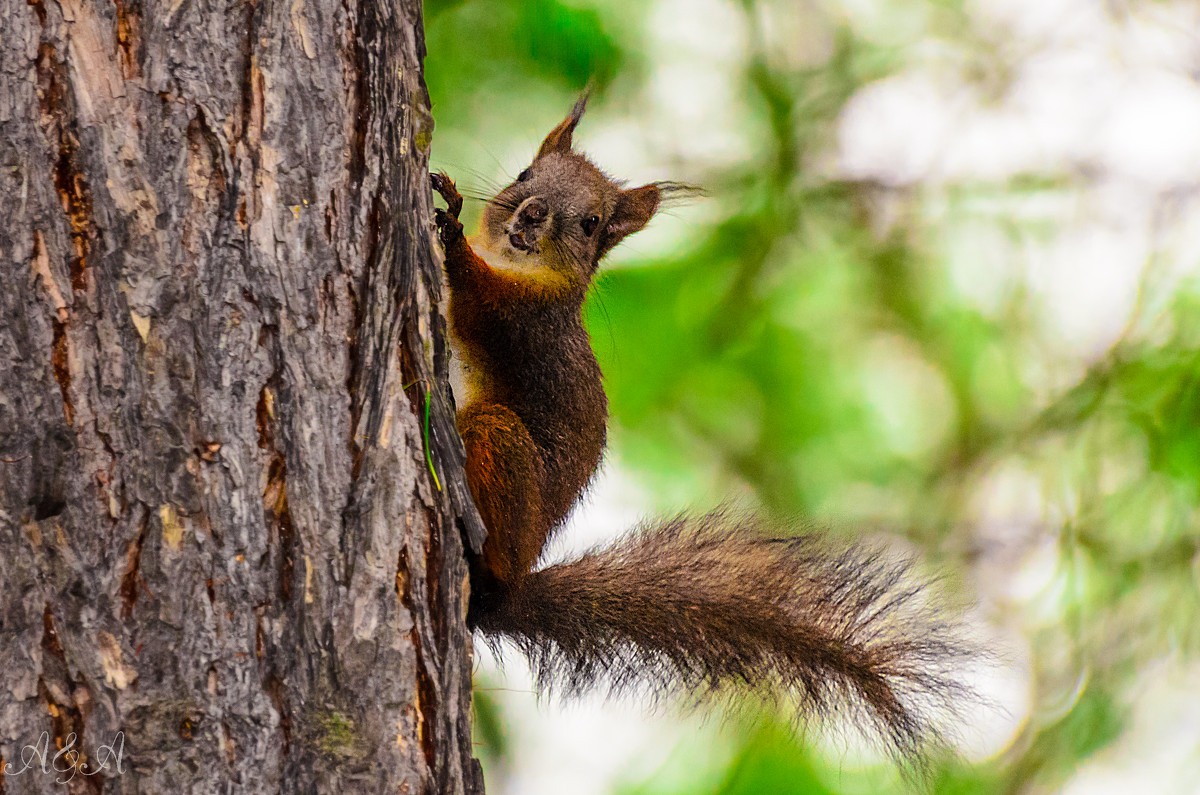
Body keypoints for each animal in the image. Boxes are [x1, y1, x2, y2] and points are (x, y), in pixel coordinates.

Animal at [432, 96, 974, 773]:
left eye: (588, 223)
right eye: (526, 175)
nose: (533, 214)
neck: (517, 264)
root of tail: (508, 595)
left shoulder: (526, 322)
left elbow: (480, 299)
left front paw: (450, 232)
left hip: (500, 443)